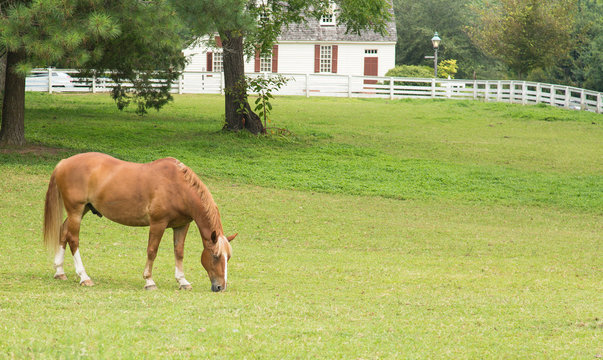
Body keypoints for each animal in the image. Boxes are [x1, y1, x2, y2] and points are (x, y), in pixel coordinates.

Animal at [42, 153, 236, 292]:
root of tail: (64, 162)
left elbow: (179, 252)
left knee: (63, 232)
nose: (221, 287)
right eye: (215, 256)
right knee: (73, 239)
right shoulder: (158, 223)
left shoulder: (181, 225)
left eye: (228, 257)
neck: (178, 187)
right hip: (76, 210)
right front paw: (149, 281)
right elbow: (152, 251)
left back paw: (59, 271)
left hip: (83, 210)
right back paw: (84, 277)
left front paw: (182, 281)